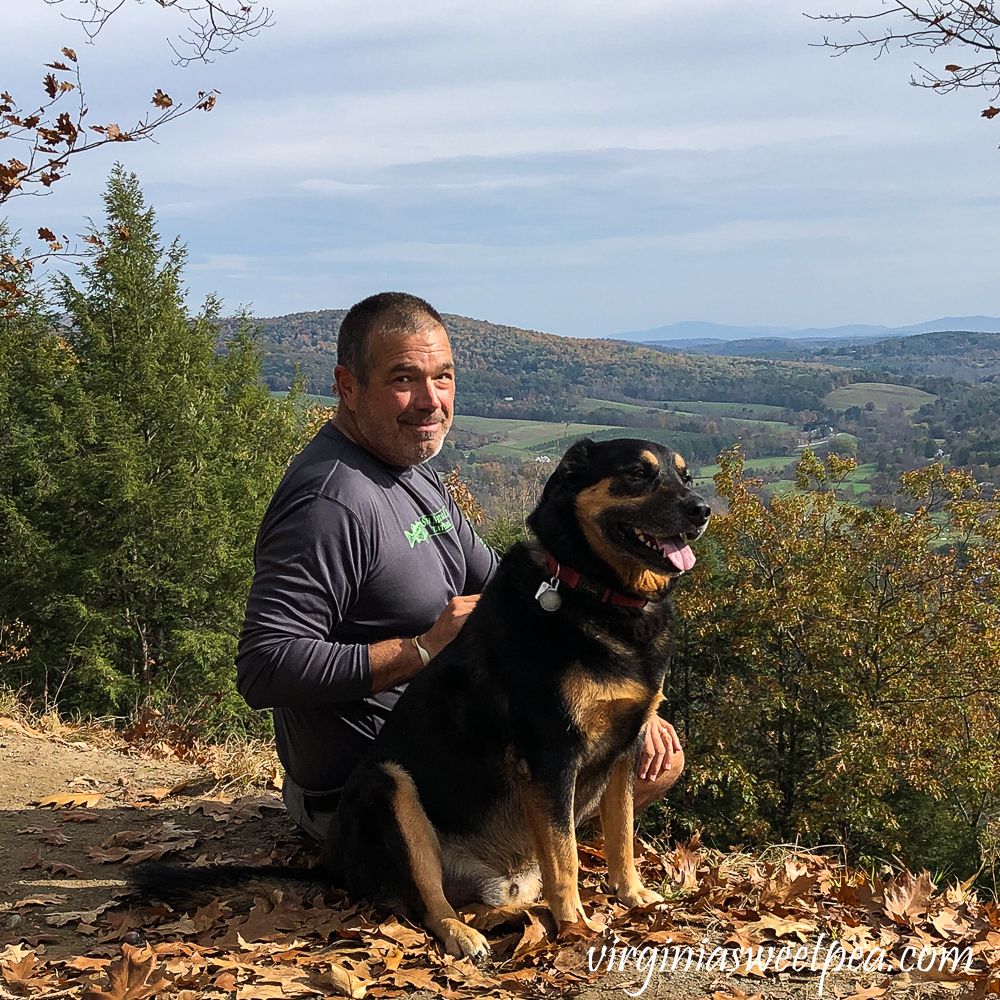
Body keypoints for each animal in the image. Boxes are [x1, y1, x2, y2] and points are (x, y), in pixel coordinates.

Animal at [133, 438, 712, 960]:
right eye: (637, 473)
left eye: (686, 476)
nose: (702, 510)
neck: (595, 591)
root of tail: (331, 865)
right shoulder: (550, 758)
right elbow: (567, 858)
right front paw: (577, 926)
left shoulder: (625, 749)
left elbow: (621, 836)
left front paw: (634, 895)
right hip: (390, 787)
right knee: (428, 903)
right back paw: (466, 934)